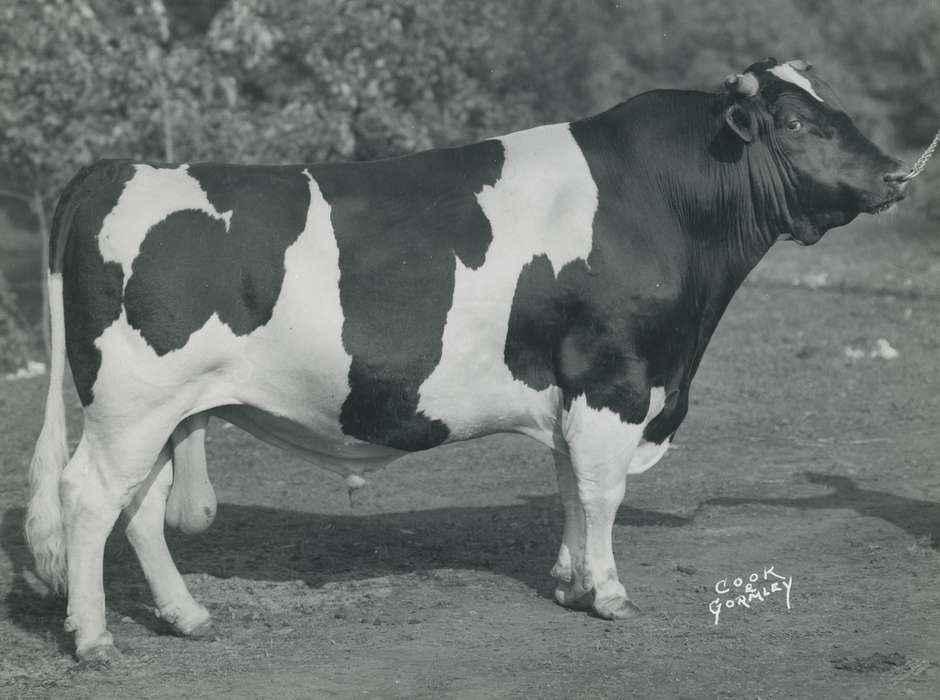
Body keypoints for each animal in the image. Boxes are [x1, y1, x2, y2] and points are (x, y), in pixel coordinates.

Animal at [26, 58, 907, 665]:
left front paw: (569, 581)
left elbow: (569, 485)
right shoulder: (613, 377)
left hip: (162, 410)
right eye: (794, 124)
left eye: (829, 108)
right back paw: (95, 640)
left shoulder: (573, 389)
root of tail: (122, 167)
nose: (898, 172)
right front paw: (608, 593)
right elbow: (602, 490)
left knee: (139, 508)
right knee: (88, 498)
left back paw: (187, 616)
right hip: (132, 403)